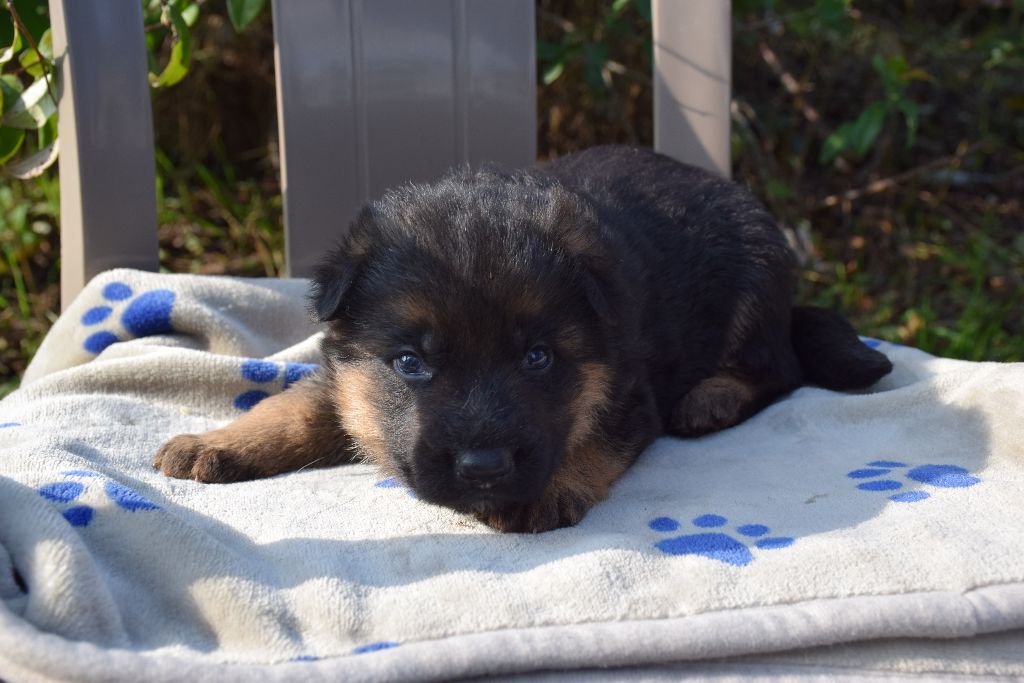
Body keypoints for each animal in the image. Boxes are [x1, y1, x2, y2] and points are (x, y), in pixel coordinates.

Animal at [155, 145, 892, 532]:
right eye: (410, 363)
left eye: (538, 358)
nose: (484, 467)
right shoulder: (344, 376)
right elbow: (293, 408)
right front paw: (214, 443)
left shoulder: (629, 396)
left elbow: (590, 437)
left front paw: (546, 487)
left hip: (755, 280)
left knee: (779, 366)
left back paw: (712, 397)